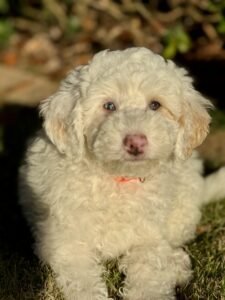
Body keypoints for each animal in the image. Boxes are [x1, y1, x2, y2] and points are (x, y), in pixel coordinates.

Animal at [18, 47, 225, 300]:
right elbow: (83, 281)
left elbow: (151, 273)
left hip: (184, 205)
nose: (136, 142)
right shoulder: (68, 245)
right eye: (109, 106)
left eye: (155, 105)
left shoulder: (148, 239)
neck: (118, 178)